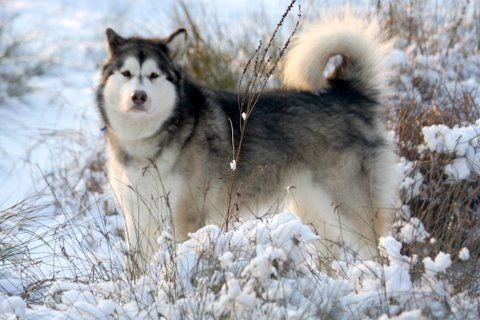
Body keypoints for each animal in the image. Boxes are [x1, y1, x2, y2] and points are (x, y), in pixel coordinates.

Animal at [96, 15, 398, 270]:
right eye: (126, 73)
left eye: (154, 75)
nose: (138, 97)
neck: (145, 141)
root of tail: (349, 94)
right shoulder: (137, 216)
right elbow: (138, 266)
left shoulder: (186, 216)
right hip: (314, 209)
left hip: (351, 208)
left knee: (376, 250)